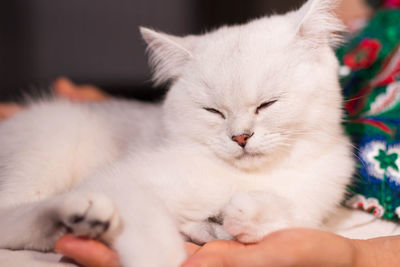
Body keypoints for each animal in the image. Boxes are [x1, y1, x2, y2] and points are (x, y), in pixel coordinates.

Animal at [0, 0, 354, 266]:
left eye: (267, 104)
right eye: (213, 111)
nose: (240, 137)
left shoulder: (308, 207)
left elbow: (282, 216)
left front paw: (242, 216)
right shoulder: (121, 181)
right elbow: (152, 232)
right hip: (48, 149)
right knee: (11, 216)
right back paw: (83, 211)